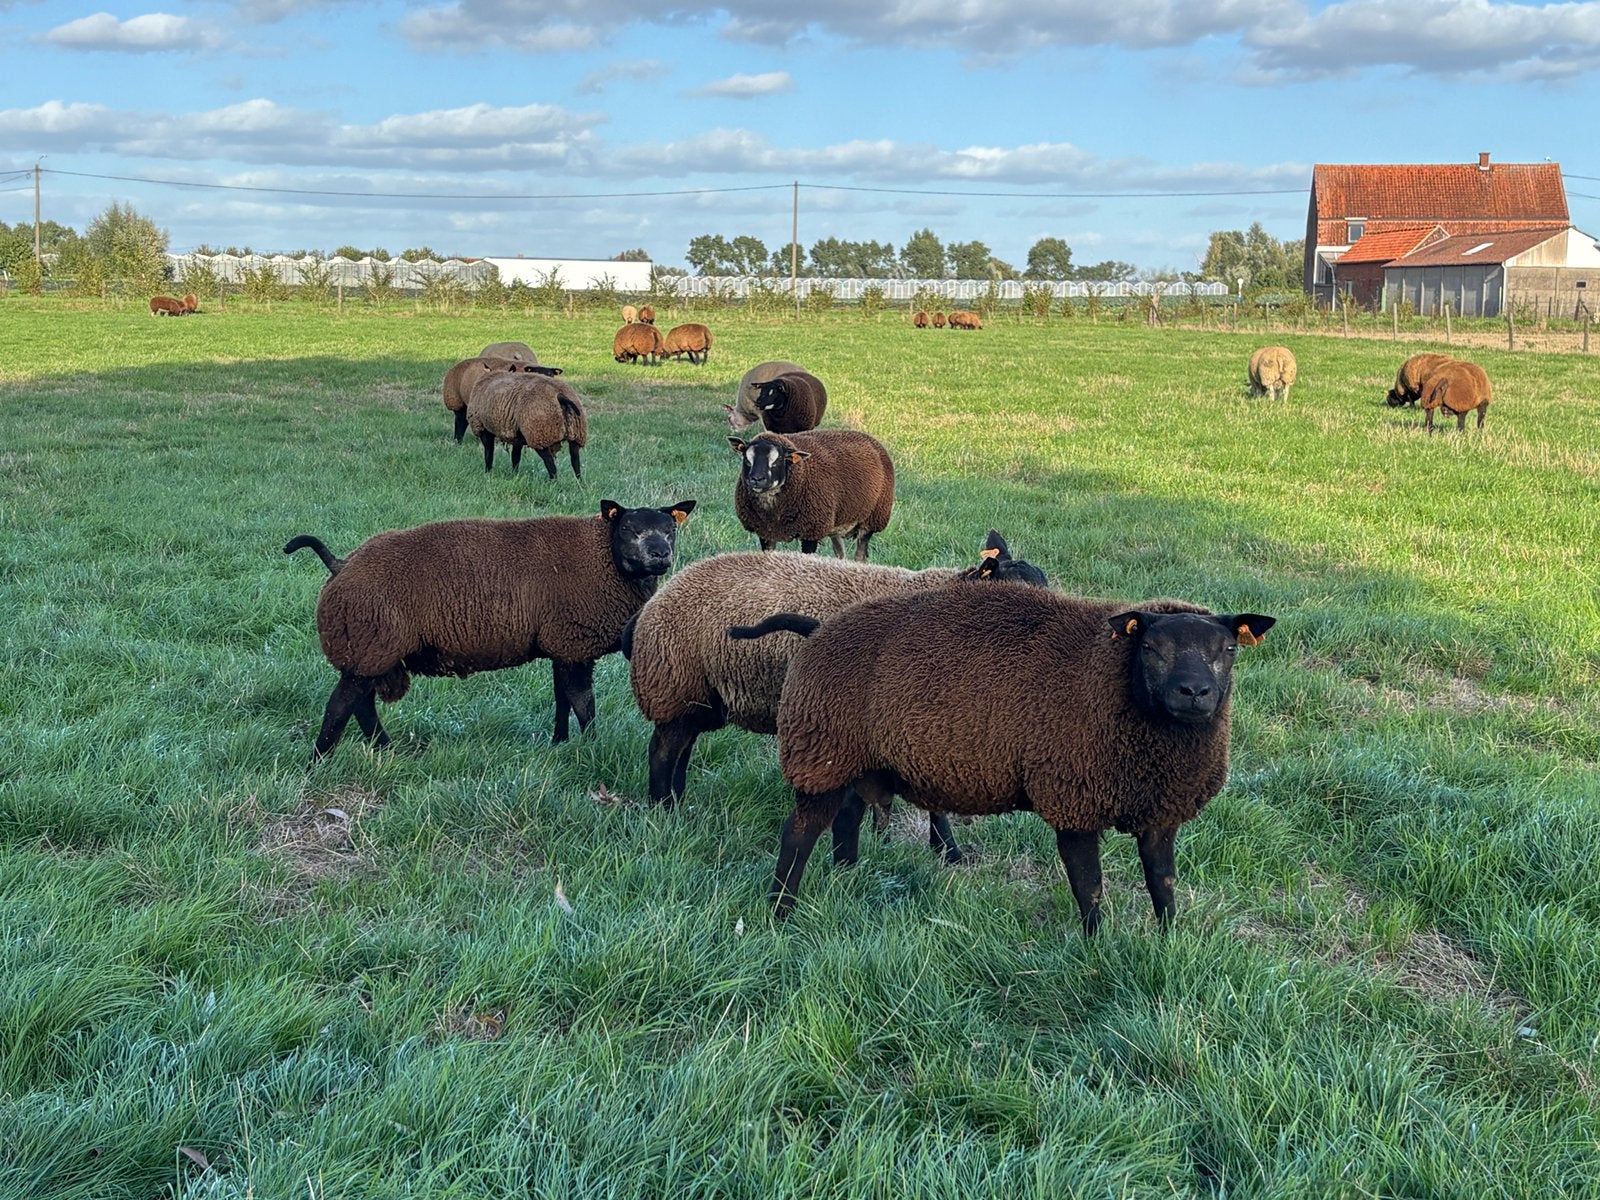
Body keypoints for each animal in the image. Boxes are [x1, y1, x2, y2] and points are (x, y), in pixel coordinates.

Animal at [283, 499, 696, 757]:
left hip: (373, 650)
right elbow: (584, 704)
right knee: (340, 706)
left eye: (670, 530)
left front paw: (559, 743)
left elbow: (561, 700)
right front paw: (590, 746)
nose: (660, 554)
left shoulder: (561, 644)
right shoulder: (575, 642)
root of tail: (340, 563)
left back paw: (385, 749)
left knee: (362, 705)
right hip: (369, 642)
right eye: (628, 529)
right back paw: (319, 760)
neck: (602, 556)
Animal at [625, 531, 1049, 828]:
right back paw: (663, 808)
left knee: (682, 747)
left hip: (701, 696)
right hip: (673, 682)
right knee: (662, 751)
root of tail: (654, 603)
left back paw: (679, 799)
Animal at [729, 429, 894, 561]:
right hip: (836, 523)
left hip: (872, 519)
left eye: (779, 460)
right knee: (840, 554)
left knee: (859, 555)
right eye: (746, 458)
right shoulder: (765, 533)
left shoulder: (811, 531)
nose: (757, 479)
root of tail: (869, 438)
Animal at [740, 588, 1275, 928]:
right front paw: (1097, 947)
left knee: (847, 816)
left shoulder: (1160, 812)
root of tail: (819, 628)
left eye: (1229, 649)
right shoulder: (1072, 799)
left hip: (856, 757)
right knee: (798, 834)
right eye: (1151, 647)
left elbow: (1163, 887)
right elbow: (1089, 887)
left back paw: (847, 875)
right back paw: (781, 911)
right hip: (820, 751)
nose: (1194, 692)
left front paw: (1168, 943)